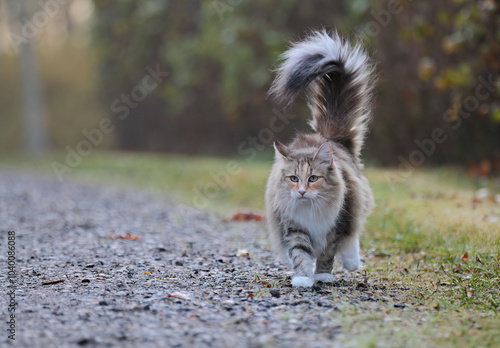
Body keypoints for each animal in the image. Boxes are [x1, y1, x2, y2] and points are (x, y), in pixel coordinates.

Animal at [266, 29, 376, 286]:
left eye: (313, 178)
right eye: (294, 179)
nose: (302, 191)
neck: (311, 209)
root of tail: (327, 137)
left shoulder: (335, 227)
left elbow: (327, 254)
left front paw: (323, 275)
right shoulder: (294, 227)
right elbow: (300, 253)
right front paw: (302, 278)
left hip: (355, 202)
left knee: (354, 234)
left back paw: (351, 262)